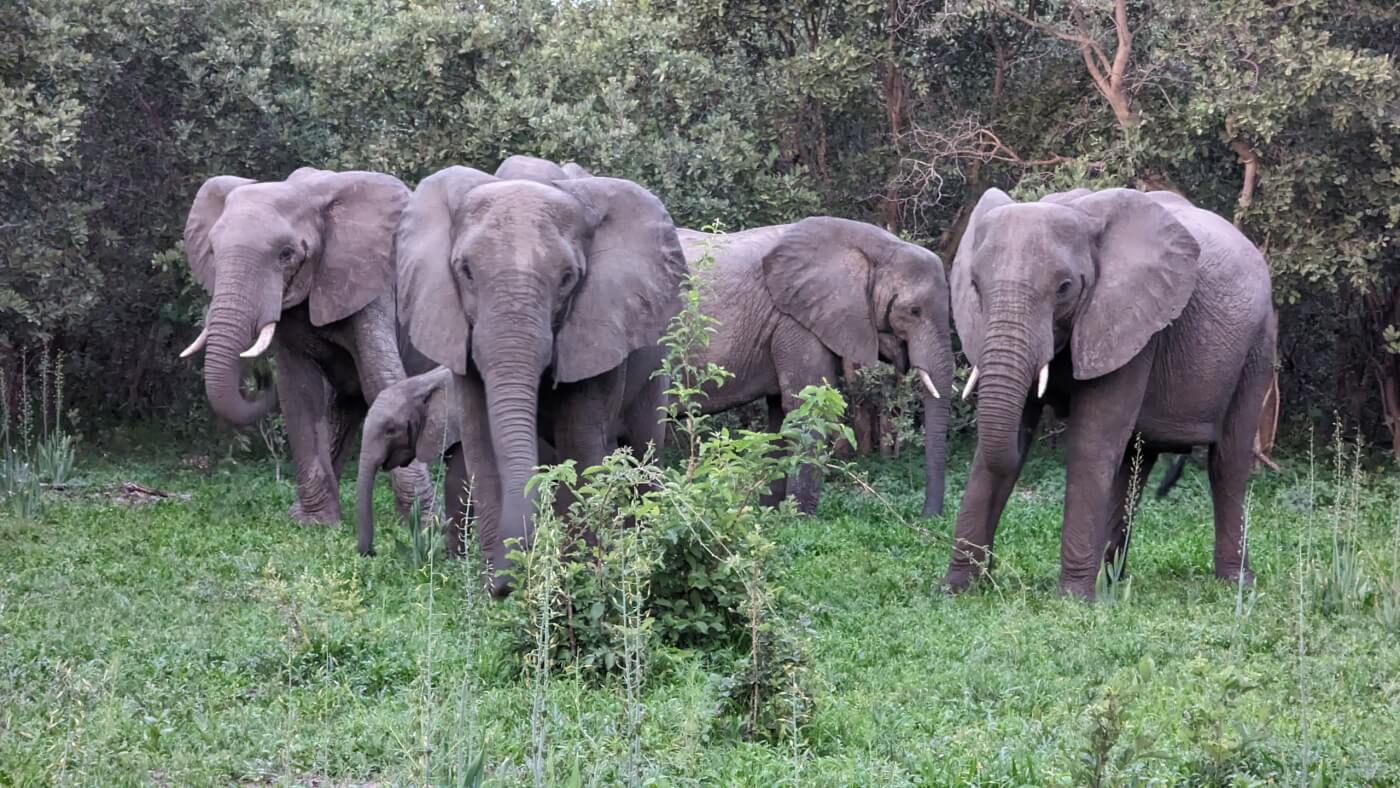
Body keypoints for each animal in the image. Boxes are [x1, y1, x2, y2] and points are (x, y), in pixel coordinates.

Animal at [180, 166, 434, 523]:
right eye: (213, 252)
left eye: (286, 255)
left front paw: (423, 526)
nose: (261, 377)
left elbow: (382, 381)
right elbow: (300, 390)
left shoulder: (371, 283)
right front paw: (314, 522)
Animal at [394, 167, 683, 599]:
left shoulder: (596, 327)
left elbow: (581, 445)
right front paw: (493, 589)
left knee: (642, 452)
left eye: (567, 278)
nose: (505, 584)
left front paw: (576, 584)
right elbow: (481, 444)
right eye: (465, 271)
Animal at [677, 215, 952, 515]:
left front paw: (773, 515)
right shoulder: (795, 321)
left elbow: (782, 413)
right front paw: (798, 518)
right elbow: (807, 406)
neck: (877, 247)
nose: (926, 517)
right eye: (914, 311)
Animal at [946, 187, 1276, 601]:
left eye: (1065, 288)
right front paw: (956, 589)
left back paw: (1236, 584)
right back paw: (1114, 581)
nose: (992, 571)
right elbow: (1004, 442)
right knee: (1135, 464)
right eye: (974, 286)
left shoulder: (1130, 322)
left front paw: (1072, 600)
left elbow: (1092, 444)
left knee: (1227, 463)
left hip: (1258, 345)